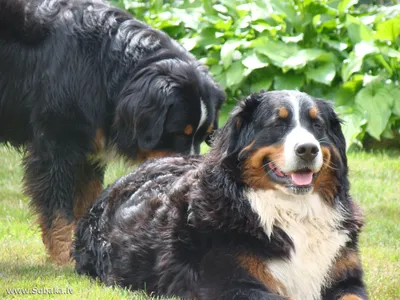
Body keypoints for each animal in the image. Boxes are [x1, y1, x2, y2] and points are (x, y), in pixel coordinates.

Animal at [0, 0, 225, 264]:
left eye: (203, 136)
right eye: (179, 133)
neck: (101, 67)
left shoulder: (88, 147)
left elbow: (89, 200)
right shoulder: (58, 141)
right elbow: (58, 208)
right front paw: (65, 255)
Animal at [73, 91, 368, 300]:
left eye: (317, 125)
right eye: (278, 124)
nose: (307, 149)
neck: (292, 210)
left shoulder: (347, 279)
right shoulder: (230, 284)